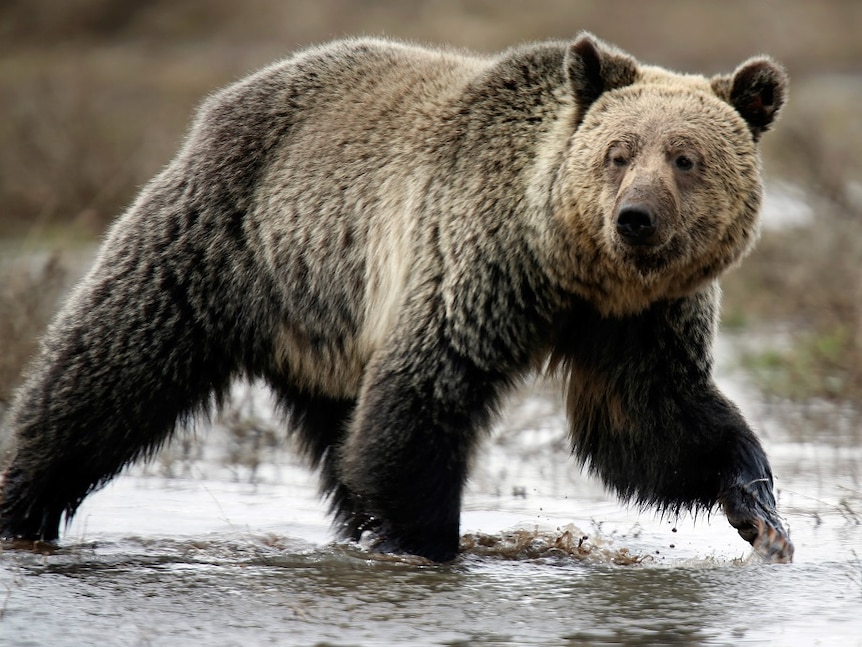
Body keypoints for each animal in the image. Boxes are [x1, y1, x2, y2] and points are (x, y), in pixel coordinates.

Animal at [0, 34, 796, 560]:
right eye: (619, 152)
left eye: (686, 158)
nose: (635, 217)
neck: (572, 268)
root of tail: (225, 99)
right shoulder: (475, 262)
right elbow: (424, 398)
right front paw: (428, 542)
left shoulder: (639, 320)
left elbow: (652, 422)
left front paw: (760, 509)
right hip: (222, 244)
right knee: (108, 372)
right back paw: (23, 504)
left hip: (325, 321)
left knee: (339, 437)